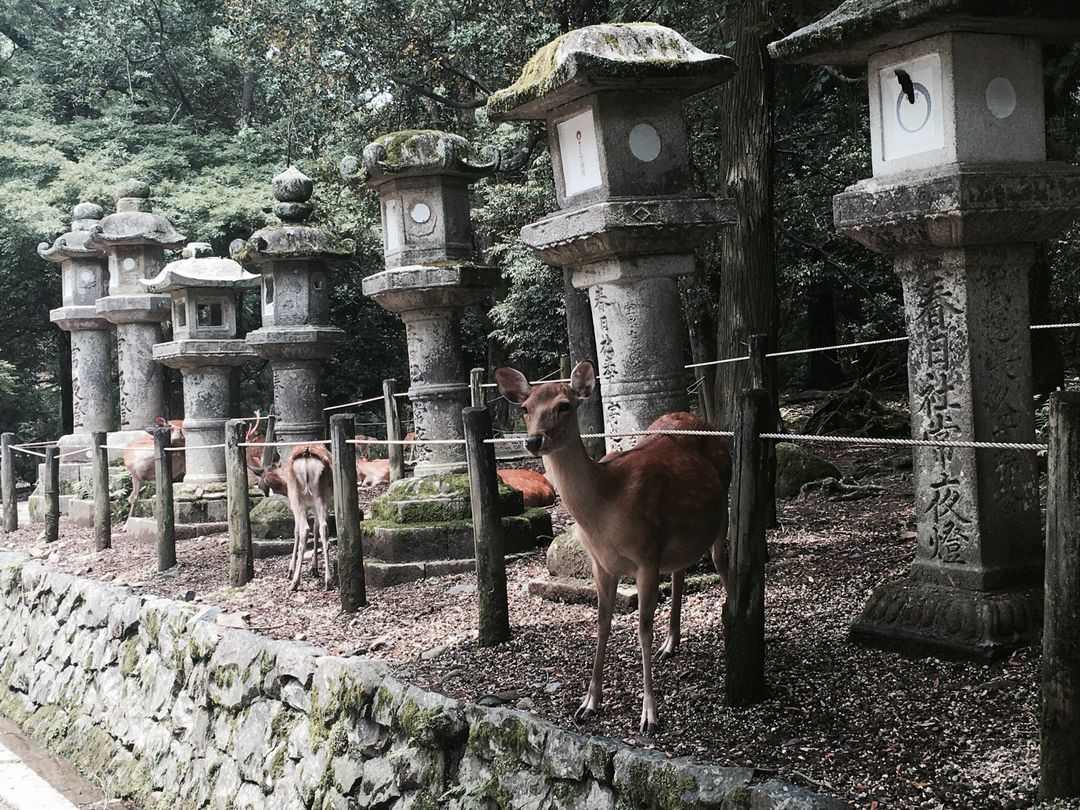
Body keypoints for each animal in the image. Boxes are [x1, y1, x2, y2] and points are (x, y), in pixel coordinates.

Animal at [496, 360, 734, 734]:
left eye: (565, 405)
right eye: (525, 408)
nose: (534, 439)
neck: (606, 509)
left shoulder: (646, 556)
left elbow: (642, 629)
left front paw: (649, 715)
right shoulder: (601, 564)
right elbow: (602, 624)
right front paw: (588, 703)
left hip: (721, 510)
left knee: (722, 561)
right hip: (679, 537)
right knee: (681, 572)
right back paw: (672, 643)